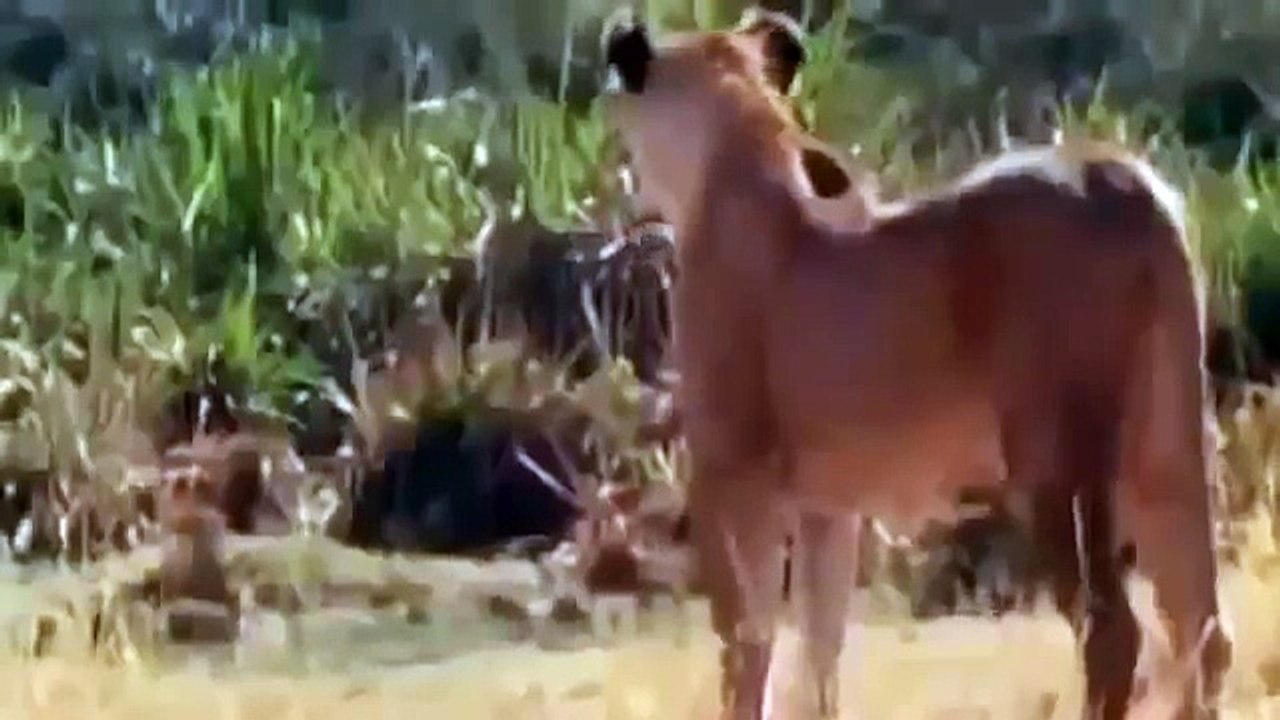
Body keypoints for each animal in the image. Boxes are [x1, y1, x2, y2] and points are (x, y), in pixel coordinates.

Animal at [602, 9, 1232, 720]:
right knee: (1203, 630)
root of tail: (1117, 181)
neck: (740, 145)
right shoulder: (828, 505)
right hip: (1169, 451)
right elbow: (819, 647)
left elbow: (747, 645)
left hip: (1060, 463)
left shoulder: (730, 476)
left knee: (1113, 631)